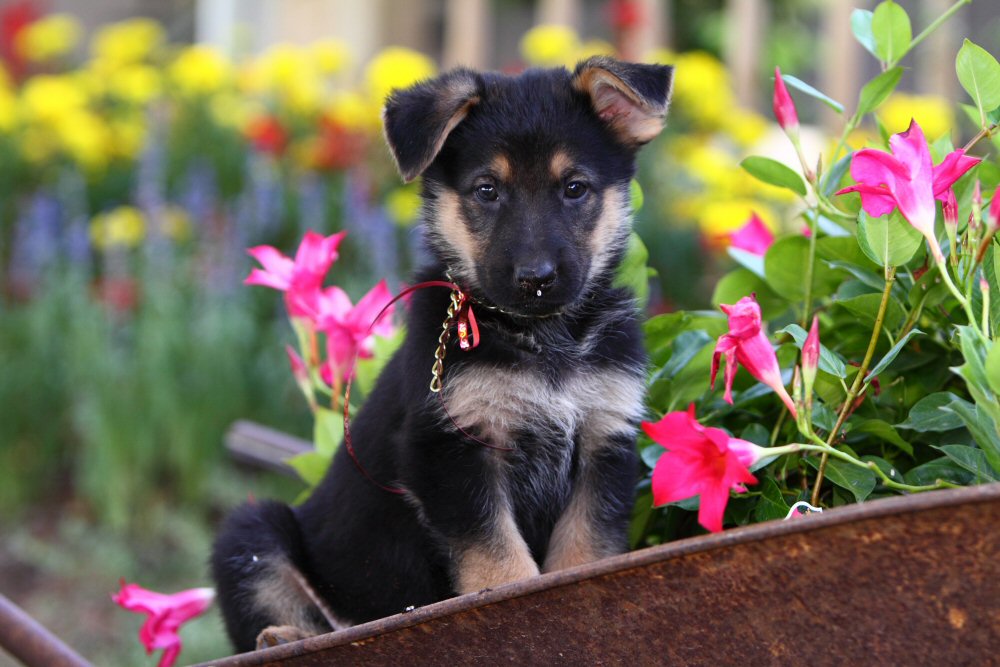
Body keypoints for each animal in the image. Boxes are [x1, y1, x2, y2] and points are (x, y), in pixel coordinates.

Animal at [215, 56, 676, 652]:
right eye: (487, 190)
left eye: (575, 188)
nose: (535, 279)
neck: (539, 337)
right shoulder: (451, 447)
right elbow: (500, 564)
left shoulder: (605, 439)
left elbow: (583, 553)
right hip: (252, 534)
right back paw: (284, 636)